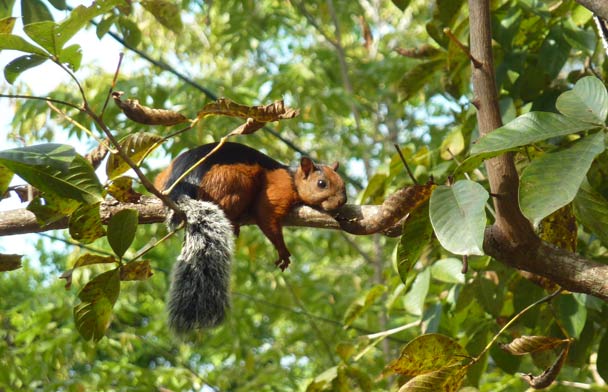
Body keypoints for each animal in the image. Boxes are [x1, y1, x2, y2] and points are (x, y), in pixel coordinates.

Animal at [154, 142, 346, 332]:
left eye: (343, 183)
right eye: (321, 183)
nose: (342, 202)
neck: (292, 178)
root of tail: (179, 188)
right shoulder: (277, 190)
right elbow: (265, 215)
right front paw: (282, 250)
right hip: (234, 181)